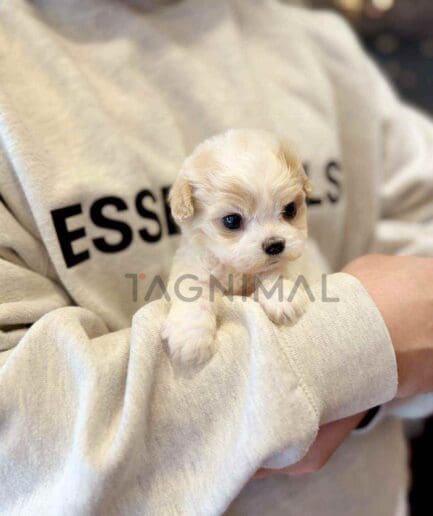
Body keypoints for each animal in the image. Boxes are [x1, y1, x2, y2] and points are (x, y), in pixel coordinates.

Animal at [163, 129, 316, 365]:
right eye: (232, 220)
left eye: (290, 209)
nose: (275, 245)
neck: (236, 269)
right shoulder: (193, 266)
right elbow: (192, 291)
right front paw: (191, 338)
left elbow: (276, 270)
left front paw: (281, 298)